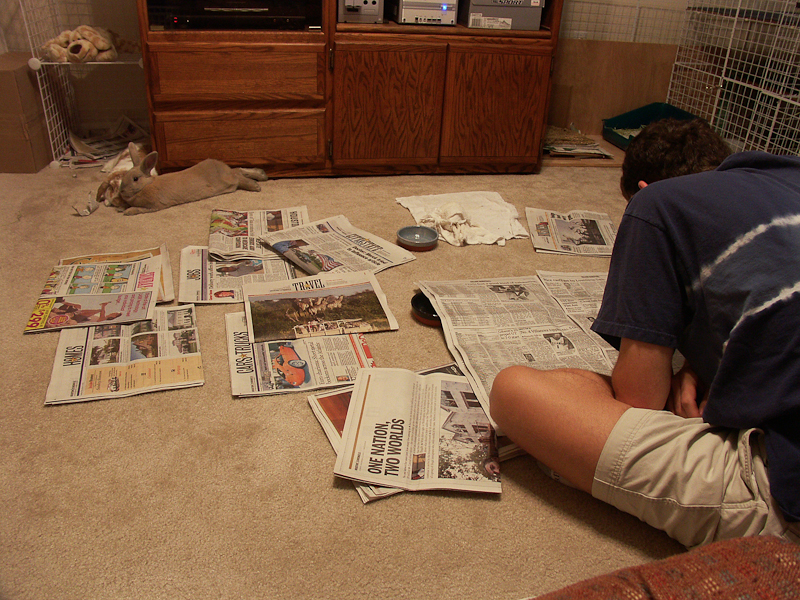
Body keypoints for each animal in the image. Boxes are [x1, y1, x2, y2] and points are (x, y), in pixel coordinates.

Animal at [114, 143, 268, 216]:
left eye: (135, 179)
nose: (122, 191)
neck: (146, 185)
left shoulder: (153, 206)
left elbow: (138, 209)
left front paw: (127, 211)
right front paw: (121, 207)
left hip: (225, 182)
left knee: (238, 177)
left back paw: (255, 185)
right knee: (238, 170)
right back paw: (261, 174)